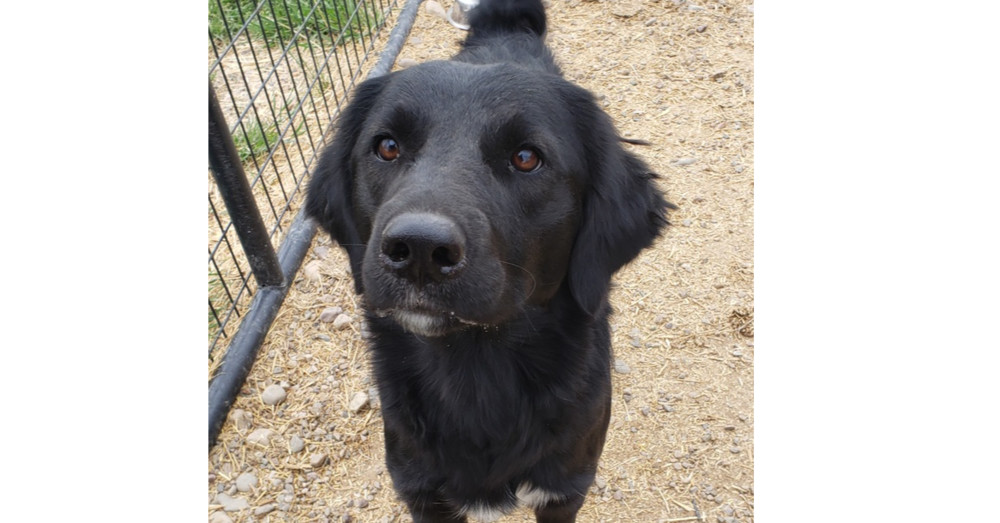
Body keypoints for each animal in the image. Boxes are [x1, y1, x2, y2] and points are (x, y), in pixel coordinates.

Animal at [306, 1, 672, 520]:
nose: (419, 250)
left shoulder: (565, 489)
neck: (476, 369)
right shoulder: (423, 494)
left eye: (526, 157)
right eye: (387, 147)